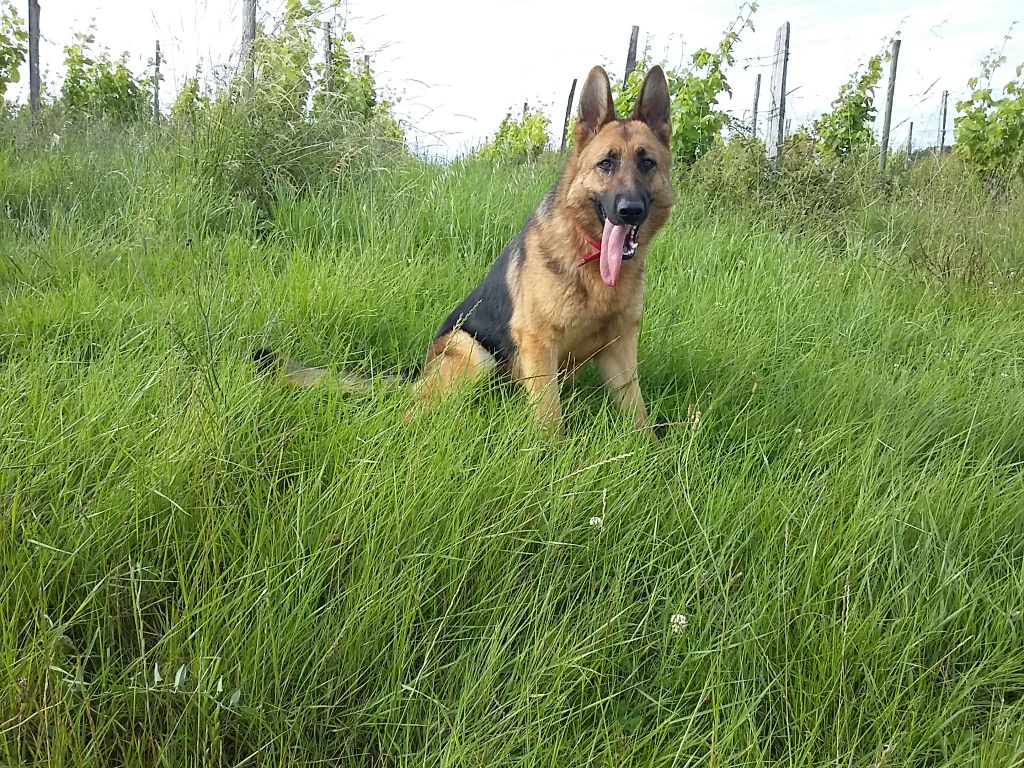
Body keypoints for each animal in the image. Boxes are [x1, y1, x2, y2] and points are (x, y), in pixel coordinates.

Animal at [253, 64, 671, 438]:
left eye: (647, 163)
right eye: (606, 164)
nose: (630, 210)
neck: (589, 255)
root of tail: (418, 372)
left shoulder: (620, 351)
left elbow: (639, 417)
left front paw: (650, 456)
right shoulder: (539, 344)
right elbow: (551, 422)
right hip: (474, 355)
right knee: (413, 413)